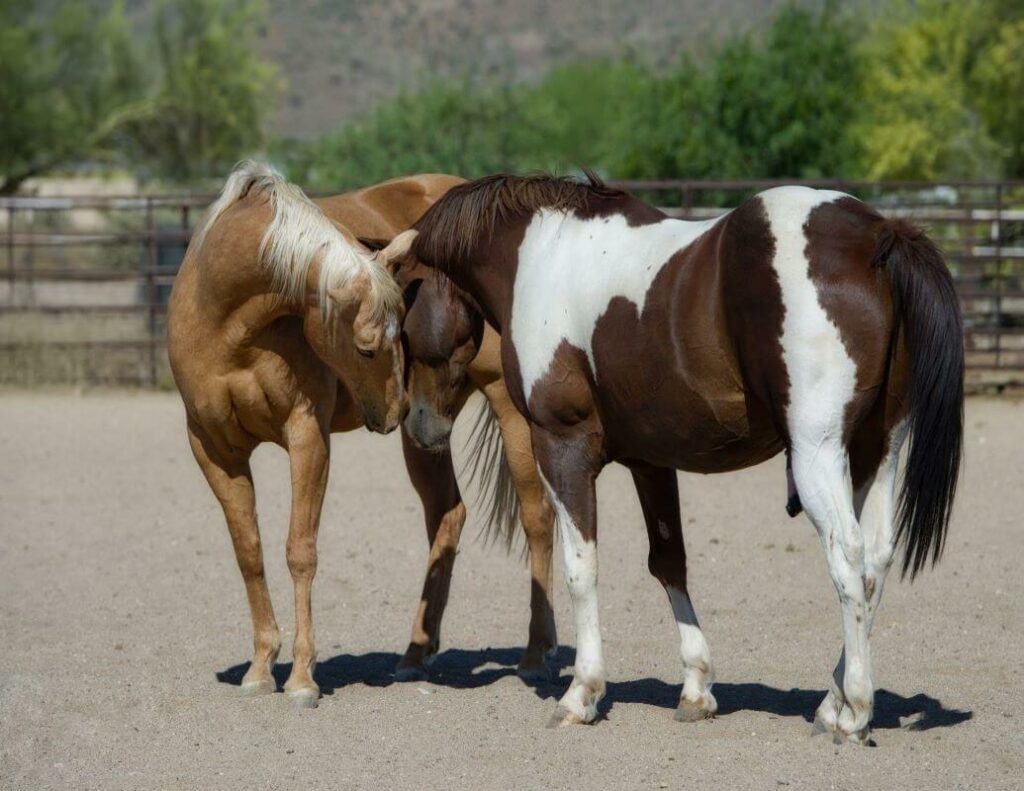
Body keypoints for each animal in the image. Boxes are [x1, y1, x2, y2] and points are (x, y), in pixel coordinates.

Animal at [166, 163, 557, 709]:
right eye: (369, 347)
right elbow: (249, 552)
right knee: (447, 515)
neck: (224, 320)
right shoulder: (214, 449)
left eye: (401, 334)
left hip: (504, 408)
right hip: (427, 429)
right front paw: (261, 667)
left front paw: (302, 677)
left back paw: (536, 655)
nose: (393, 410)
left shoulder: (307, 436)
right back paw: (415, 654)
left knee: (537, 517)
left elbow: (300, 551)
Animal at [387, 170, 962, 745]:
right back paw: (832, 703)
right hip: (875, 451)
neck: (541, 253)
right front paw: (696, 687)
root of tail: (877, 236)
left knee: (848, 555)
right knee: (876, 560)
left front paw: (582, 693)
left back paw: (856, 710)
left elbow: (581, 567)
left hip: (817, 452)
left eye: (403, 320)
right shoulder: (651, 461)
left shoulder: (561, 446)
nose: (418, 425)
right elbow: (669, 563)